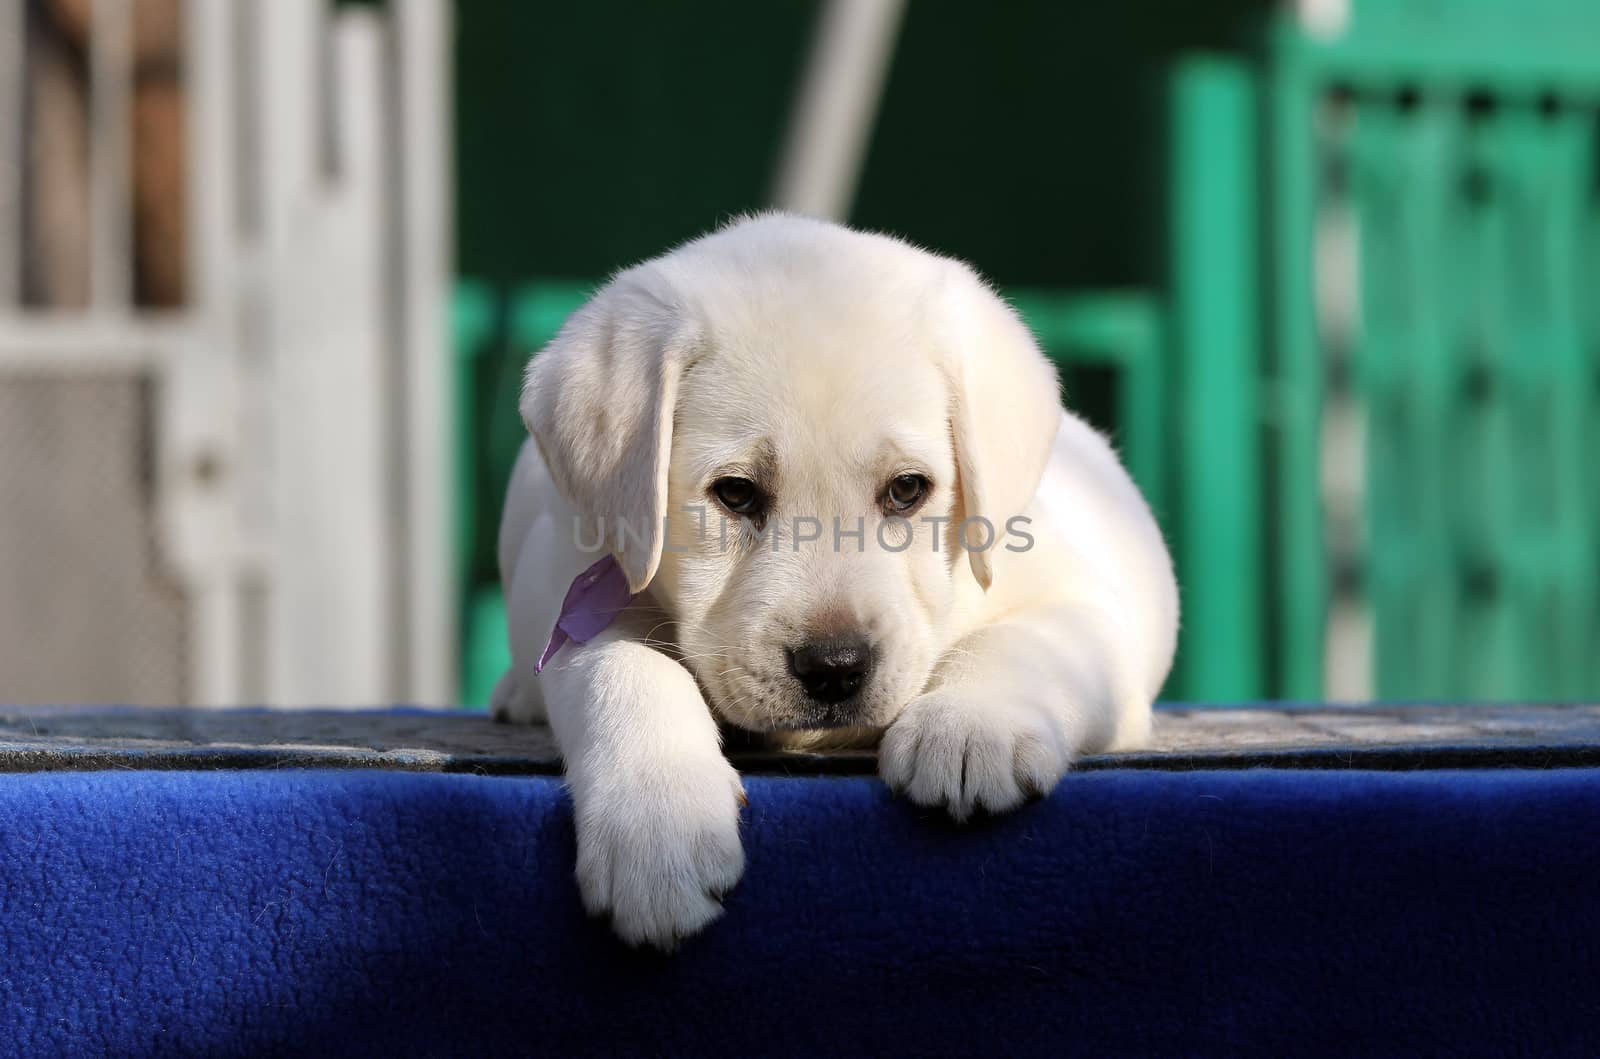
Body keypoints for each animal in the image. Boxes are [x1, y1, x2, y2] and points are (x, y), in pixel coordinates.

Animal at [492, 214, 1184, 947]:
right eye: (735, 493)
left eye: (908, 489)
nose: (834, 667)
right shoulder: (576, 601)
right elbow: (623, 668)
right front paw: (657, 821)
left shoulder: (1085, 605)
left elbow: (1019, 642)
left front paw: (969, 728)